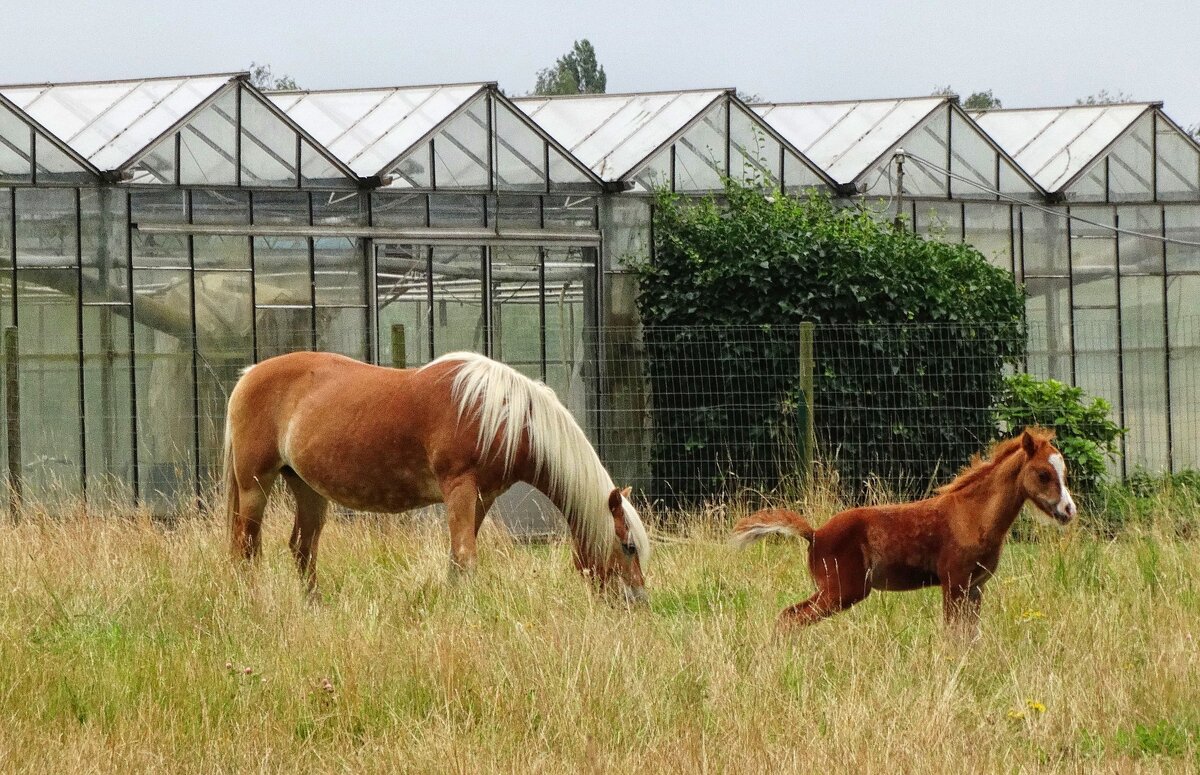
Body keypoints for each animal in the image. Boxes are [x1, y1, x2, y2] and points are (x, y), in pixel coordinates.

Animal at [220, 350, 652, 602]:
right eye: (629, 546)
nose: (638, 601)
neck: (502, 414)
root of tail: (249, 374)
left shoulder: (482, 496)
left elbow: (458, 557)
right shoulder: (459, 487)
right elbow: (465, 556)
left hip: (308, 489)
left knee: (302, 548)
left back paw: (314, 606)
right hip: (254, 484)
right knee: (246, 546)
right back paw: (252, 602)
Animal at [729, 427, 1080, 633]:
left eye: (1064, 472)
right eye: (1043, 474)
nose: (1068, 511)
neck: (972, 516)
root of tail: (814, 534)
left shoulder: (976, 587)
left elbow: (971, 637)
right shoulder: (954, 584)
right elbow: (953, 636)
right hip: (841, 591)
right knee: (789, 618)